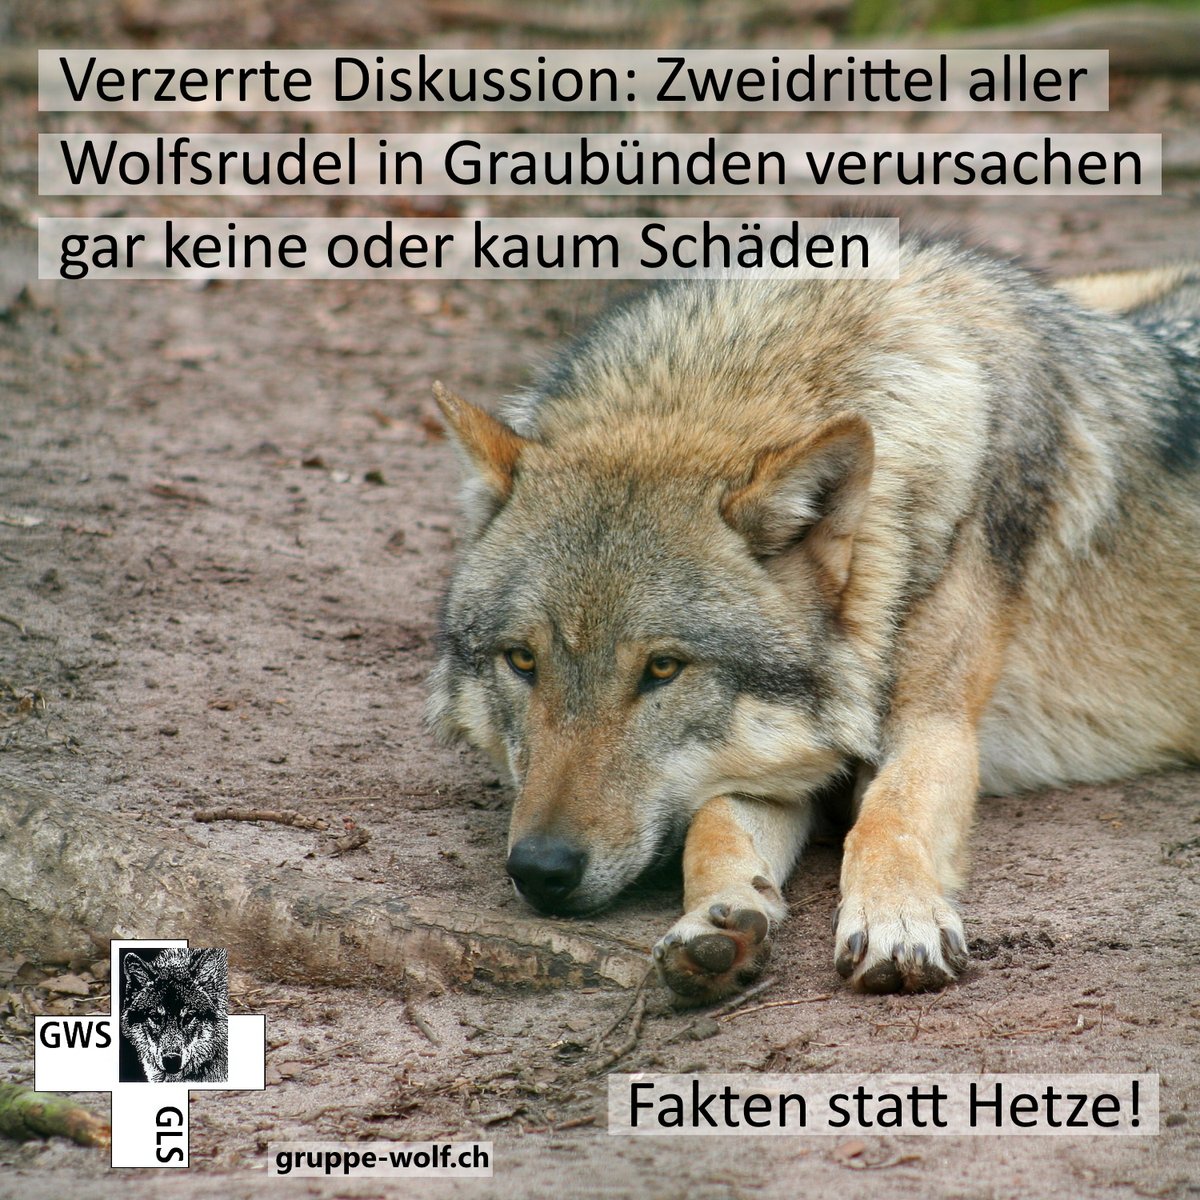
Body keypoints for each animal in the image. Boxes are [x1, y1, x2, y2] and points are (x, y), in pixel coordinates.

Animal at [427, 235, 1200, 1004]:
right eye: (522, 660)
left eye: (663, 669)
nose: (540, 869)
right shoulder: (771, 760)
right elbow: (712, 825)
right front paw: (719, 919)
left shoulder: (938, 727)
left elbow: (889, 814)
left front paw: (896, 918)